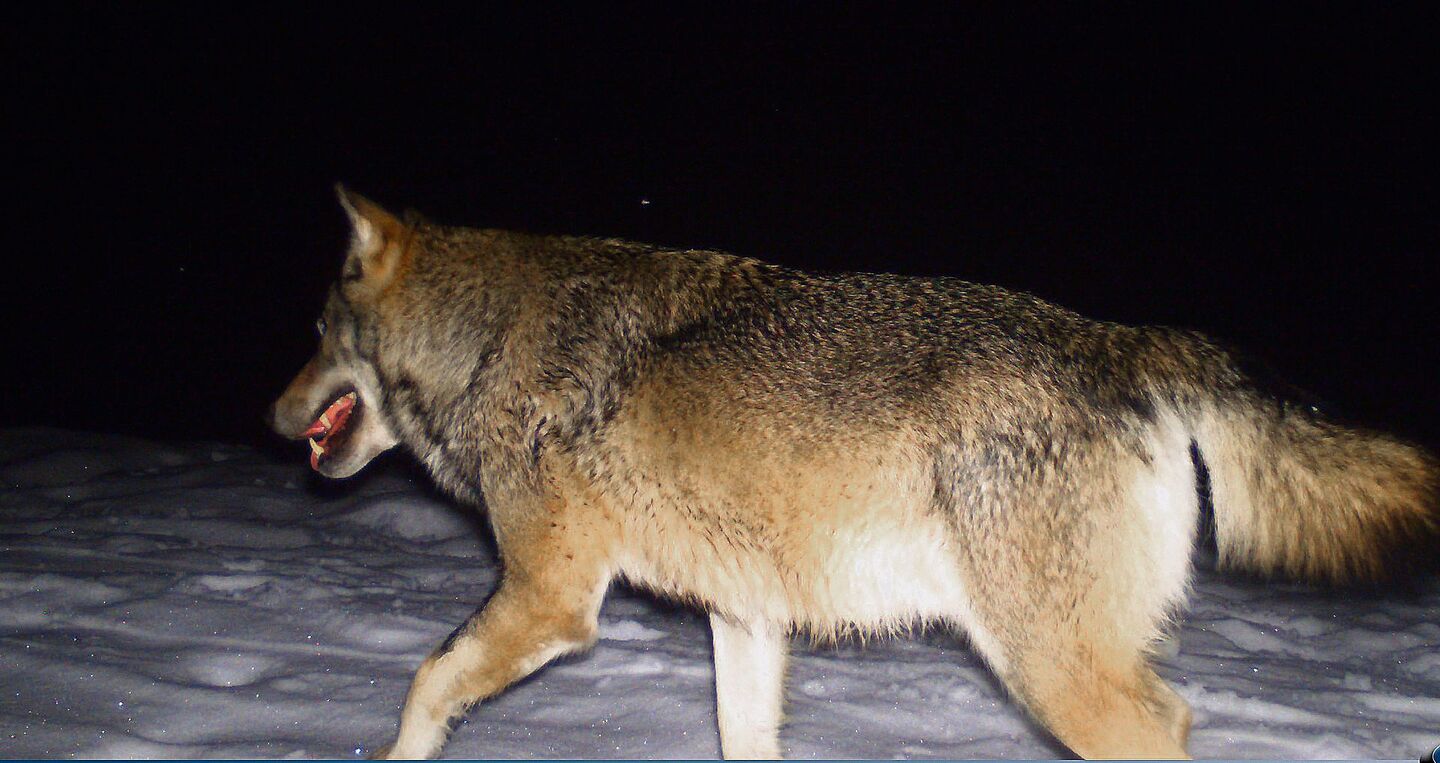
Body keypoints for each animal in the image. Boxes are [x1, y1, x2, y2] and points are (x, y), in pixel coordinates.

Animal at [269, 186, 1438, 759]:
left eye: (315, 334)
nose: (272, 418)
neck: (487, 340)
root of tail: (1127, 343)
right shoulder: (744, 620)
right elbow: (742, 740)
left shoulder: (549, 599)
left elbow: (423, 685)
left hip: (1049, 673)